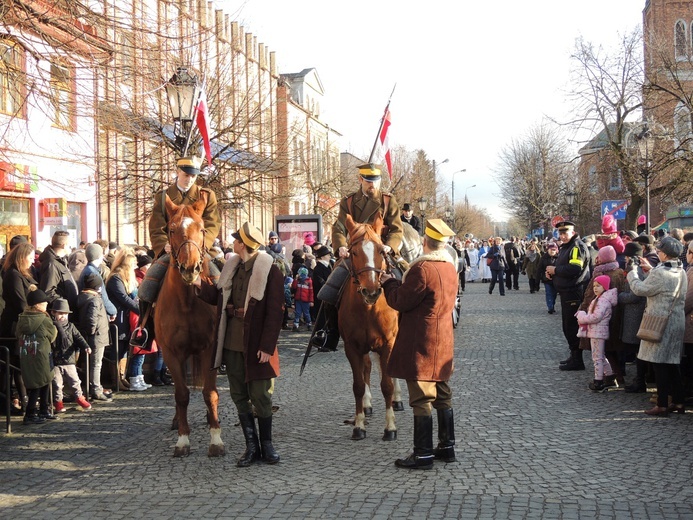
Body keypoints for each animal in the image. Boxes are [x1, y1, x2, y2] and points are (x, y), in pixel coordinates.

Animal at [154, 196, 224, 460]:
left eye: (202, 229)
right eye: (171, 229)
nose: (189, 268)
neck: (186, 301)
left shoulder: (210, 350)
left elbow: (210, 393)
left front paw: (216, 439)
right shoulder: (171, 353)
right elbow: (182, 394)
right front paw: (183, 440)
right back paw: (177, 421)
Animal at [338, 213, 398, 440]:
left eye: (381, 250)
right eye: (353, 252)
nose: (371, 291)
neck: (369, 309)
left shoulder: (388, 344)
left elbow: (387, 385)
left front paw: (390, 427)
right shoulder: (352, 347)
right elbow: (358, 385)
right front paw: (359, 425)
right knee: (368, 368)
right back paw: (367, 405)